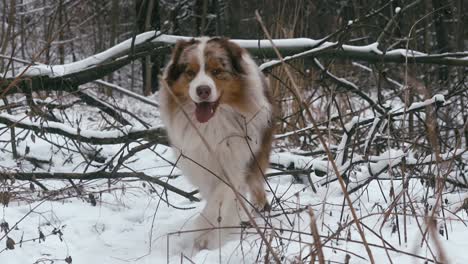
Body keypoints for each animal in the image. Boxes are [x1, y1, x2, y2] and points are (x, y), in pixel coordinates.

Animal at [159, 37, 274, 250]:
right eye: (190, 72)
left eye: (217, 71)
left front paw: (204, 234)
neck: (213, 123)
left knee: (255, 185)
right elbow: (214, 195)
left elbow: (220, 197)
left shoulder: (236, 159)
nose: (202, 90)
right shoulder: (199, 162)